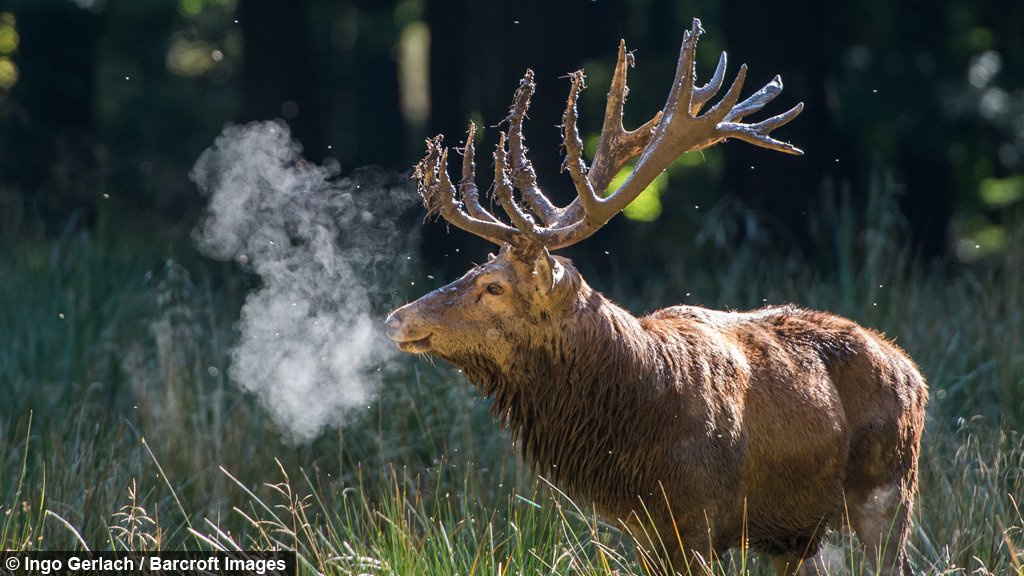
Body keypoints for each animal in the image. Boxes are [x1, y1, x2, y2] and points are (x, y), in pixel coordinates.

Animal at [385, 19, 927, 576]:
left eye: (493, 286)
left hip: (890, 490)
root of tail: (913, 371)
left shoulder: (700, 516)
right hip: (798, 533)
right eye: (474, 269)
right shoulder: (644, 532)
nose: (396, 319)